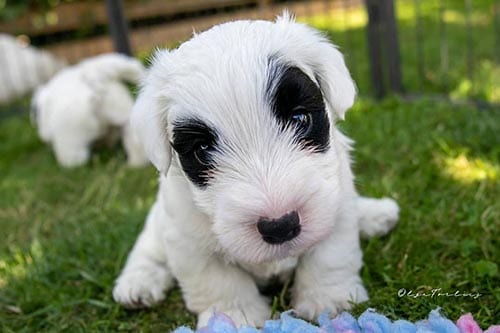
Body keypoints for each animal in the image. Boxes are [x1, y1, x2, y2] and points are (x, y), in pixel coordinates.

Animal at [112, 14, 398, 326]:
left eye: (300, 118)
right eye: (202, 150)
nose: (280, 224)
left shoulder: (335, 208)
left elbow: (330, 256)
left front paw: (329, 301)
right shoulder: (188, 240)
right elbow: (218, 280)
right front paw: (234, 318)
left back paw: (376, 214)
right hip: (157, 225)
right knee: (147, 250)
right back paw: (138, 282)